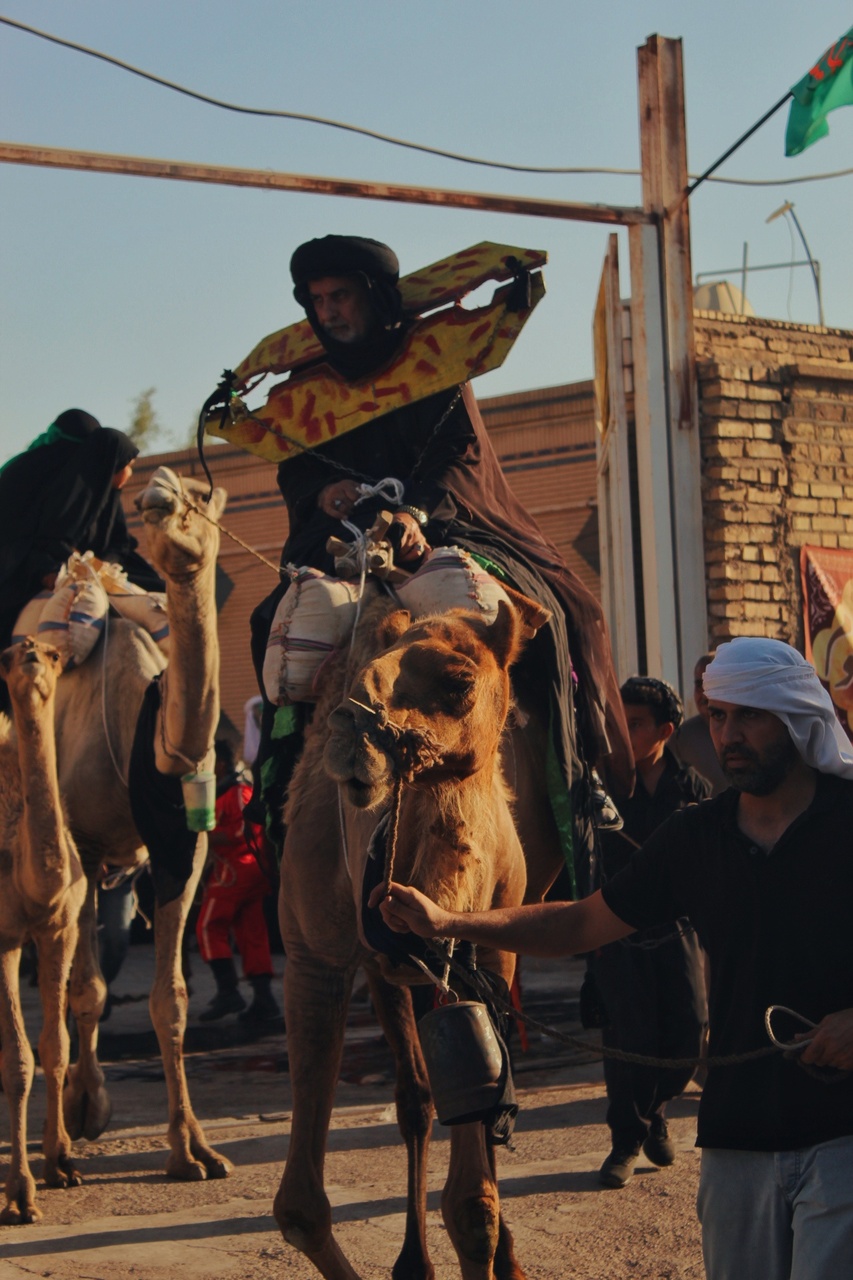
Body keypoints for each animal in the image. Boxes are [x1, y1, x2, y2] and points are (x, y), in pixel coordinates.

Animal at [52, 468, 233, 1177]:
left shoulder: (182, 846)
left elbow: (170, 998)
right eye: (153, 498)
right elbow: (87, 989)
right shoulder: (80, 843)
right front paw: (81, 1114)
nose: (157, 494)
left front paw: (193, 1149)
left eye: (199, 498)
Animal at [274, 596, 550, 1280]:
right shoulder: (313, 960)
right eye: (370, 666)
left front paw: (490, 1242)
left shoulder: (488, 951)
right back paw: (414, 1263)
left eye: (460, 682)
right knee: (416, 1100)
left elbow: (473, 1209)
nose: (352, 729)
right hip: (387, 975)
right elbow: (300, 1208)